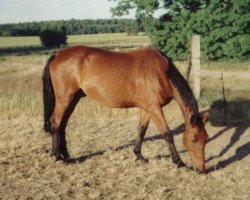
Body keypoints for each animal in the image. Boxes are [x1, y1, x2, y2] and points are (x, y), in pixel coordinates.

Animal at [42, 45, 209, 173]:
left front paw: (139, 156)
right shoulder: (154, 108)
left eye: (206, 139)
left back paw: (66, 155)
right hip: (64, 98)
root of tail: (57, 54)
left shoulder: (147, 108)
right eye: (193, 139)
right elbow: (167, 134)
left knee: (62, 125)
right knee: (55, 123)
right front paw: (179, 162)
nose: (201, 169)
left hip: (73, 99)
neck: (160, 73)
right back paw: (58, 156)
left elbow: (141, 130)